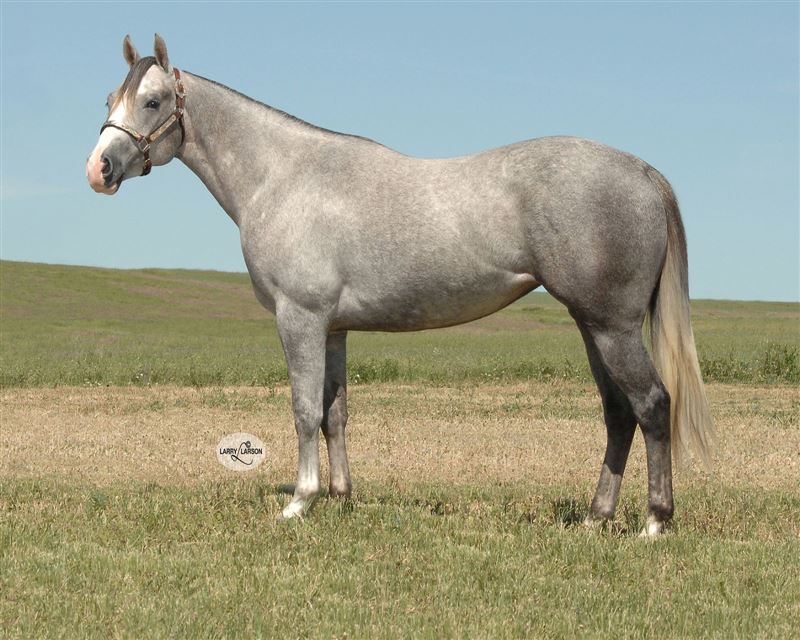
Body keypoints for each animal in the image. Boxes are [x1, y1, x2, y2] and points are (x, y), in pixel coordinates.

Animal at [86, 34, 713, 535]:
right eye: (110, 100)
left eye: (153, 100)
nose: (100, 170)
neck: (284, 176)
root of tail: (641, 171)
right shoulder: (334, 328)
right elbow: (334, 412)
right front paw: (340, 498)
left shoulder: (299, 318)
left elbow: (303, 408)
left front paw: (299, 501)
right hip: (592, 324)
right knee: (618, 413)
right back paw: (594, 518)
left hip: (612, 326)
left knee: (652, 404)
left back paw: (654, 522)